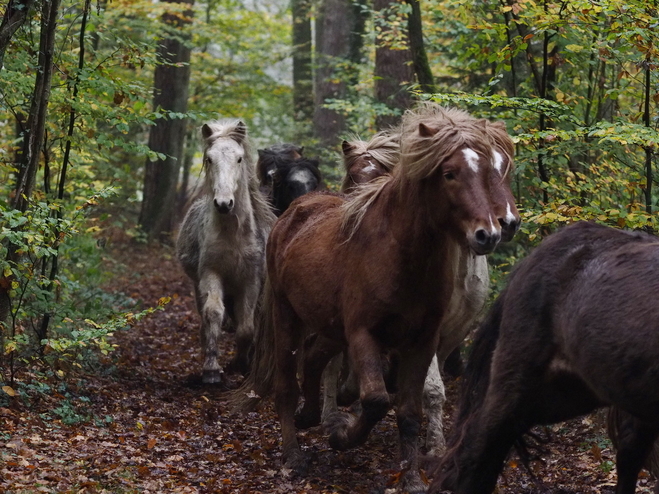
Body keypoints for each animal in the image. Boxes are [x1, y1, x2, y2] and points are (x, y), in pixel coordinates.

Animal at [175, 118, 276, 382]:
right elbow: (213, 313)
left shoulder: (250, 281)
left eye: (239, 159)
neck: (233, 237)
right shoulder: (211, 274)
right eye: (209, 159)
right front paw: (211, 368)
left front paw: (241, 363)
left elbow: (246, 327)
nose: (223, 203)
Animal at [235, 103, 520, 490]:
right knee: (287, 383)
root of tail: (297, 209)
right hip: (286, 315)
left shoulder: (424, 340)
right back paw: (294, 453)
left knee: (314, 358)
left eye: (496, 169)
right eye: (449, 174)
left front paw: (413, 477)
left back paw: (312, 415)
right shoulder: (362, 334)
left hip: (329, 325)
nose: (489, 232)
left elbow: (411, 410)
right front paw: (342, 437)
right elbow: (374, 400)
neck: (399, 256)